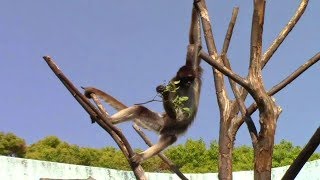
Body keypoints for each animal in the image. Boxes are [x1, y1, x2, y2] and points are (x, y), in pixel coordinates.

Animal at [84, 7, 201, 165]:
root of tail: (164, 124)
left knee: (170, 137)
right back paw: (109, 120)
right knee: (141, 110)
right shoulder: (174, 82)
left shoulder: (194, 71)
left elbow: (194, 44)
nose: (189, 82)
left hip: (169, 127)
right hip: (163, 122)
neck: (185, 85)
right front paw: (163, 92)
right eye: (184, 80)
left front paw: (197, 4)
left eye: (190, 78)